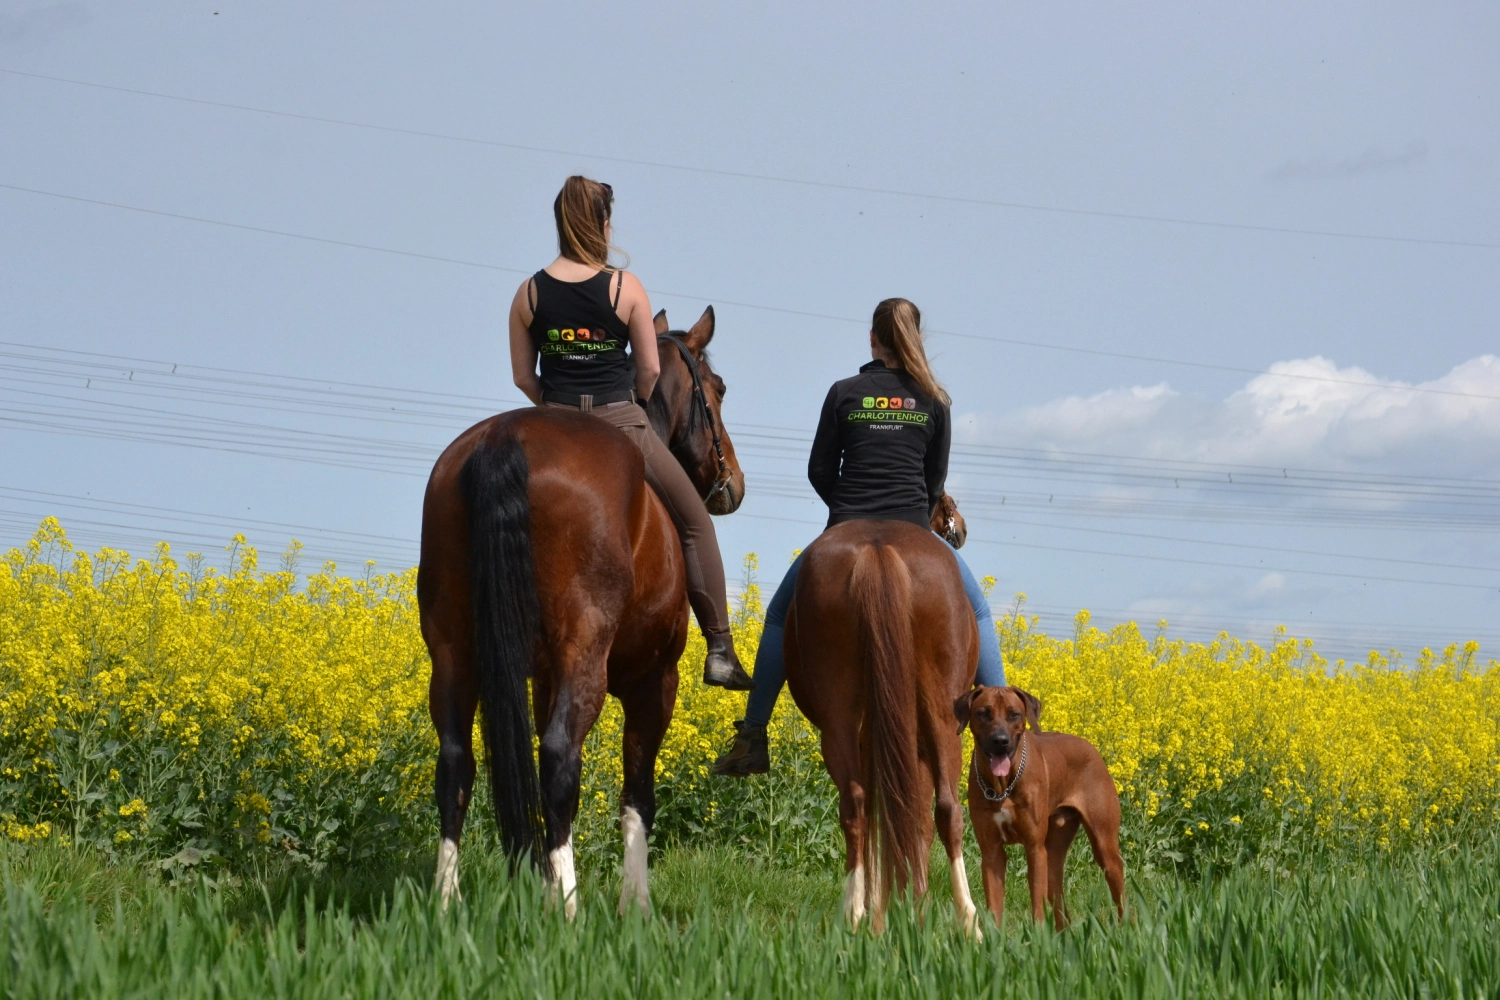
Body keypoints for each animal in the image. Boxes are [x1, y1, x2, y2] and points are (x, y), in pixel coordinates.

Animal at [417, 305, 744, 917]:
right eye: (717, 389)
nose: (731, 482)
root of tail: (504, 437)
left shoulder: (544, 678)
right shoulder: (653, 683)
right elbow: (637, 795)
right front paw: (634, 904)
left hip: (452, 650)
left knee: (455, 763)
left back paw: (447, 903)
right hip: (586, 654)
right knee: (559, 758)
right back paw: (568, 909)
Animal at [786, 521, 984, 935]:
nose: (960, 531)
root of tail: (878, 549)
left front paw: (891, 909)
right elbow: (915, 823)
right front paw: (910, 907)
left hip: (841, 718)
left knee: (857, 805)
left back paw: (855, 915)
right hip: (942, 716)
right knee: (947, 810)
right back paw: (966, 921)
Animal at [954, 683, 1122, 929]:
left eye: (1014, 714)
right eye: (983, 713)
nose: (1000, 740)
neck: (1004, 786)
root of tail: (1090, 746)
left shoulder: (1034, 848)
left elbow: (1037, 904)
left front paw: (1038, 934)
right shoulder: (991, 851)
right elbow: (995, 905)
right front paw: (994, 937)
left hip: (1104, 845)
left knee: (1119, 889)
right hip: (1053, 855)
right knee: (1060, 902)